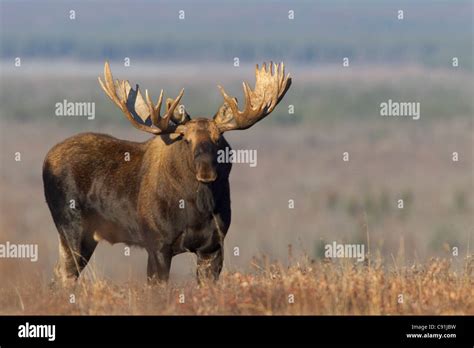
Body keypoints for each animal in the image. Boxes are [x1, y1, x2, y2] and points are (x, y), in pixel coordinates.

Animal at [42, 61, 290, 282]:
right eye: (186, 140)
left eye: (218, 139)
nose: (206, 172)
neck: (198, 209)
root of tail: (46, 160)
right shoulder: (158, 244)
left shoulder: (213, 247)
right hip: (72, 226)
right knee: (66, 274)